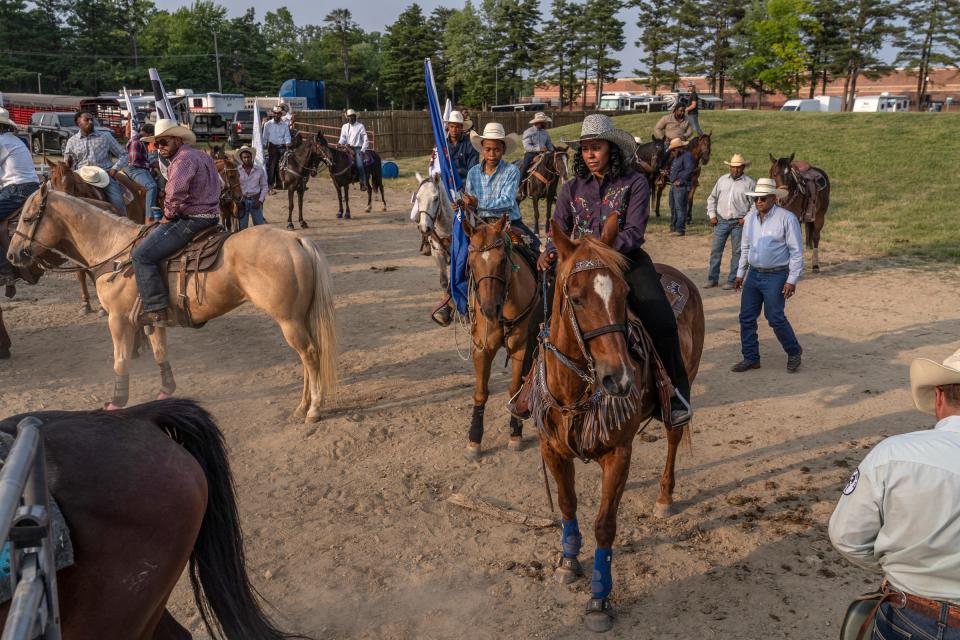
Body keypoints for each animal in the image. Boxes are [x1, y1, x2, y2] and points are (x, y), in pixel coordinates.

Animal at [5, 188, 338, 422]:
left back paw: (314, 410)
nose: (12, 255)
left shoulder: (119, 319)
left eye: (28, 218)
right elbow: (160, 353)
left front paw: (116, 401)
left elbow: (120, 361)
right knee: (307, 358)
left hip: (289, 321)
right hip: (297, 319)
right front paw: (166, 391)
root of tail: (296, 241)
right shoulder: (152, 320)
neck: (115, 251)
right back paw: (302, 406)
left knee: (310, 355)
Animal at [464, 215, 540, 460]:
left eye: (503, 261)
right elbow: (480, 393)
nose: (489, 309)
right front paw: (474, 440)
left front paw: (515, 434)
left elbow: (514, 388)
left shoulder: (520, 347)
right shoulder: (482, 347)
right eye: (471, 264)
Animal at [532, 214, 704, 632]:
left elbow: (605, 525)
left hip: (684, 384)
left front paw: (599, 598)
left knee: (673, 438)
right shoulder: (552, 449)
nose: (620, 378)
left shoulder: (618, 454)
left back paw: (664, 498)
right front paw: (568, 561)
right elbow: (567, 504)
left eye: (626, 295)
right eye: (576, 297)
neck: (575, 390)